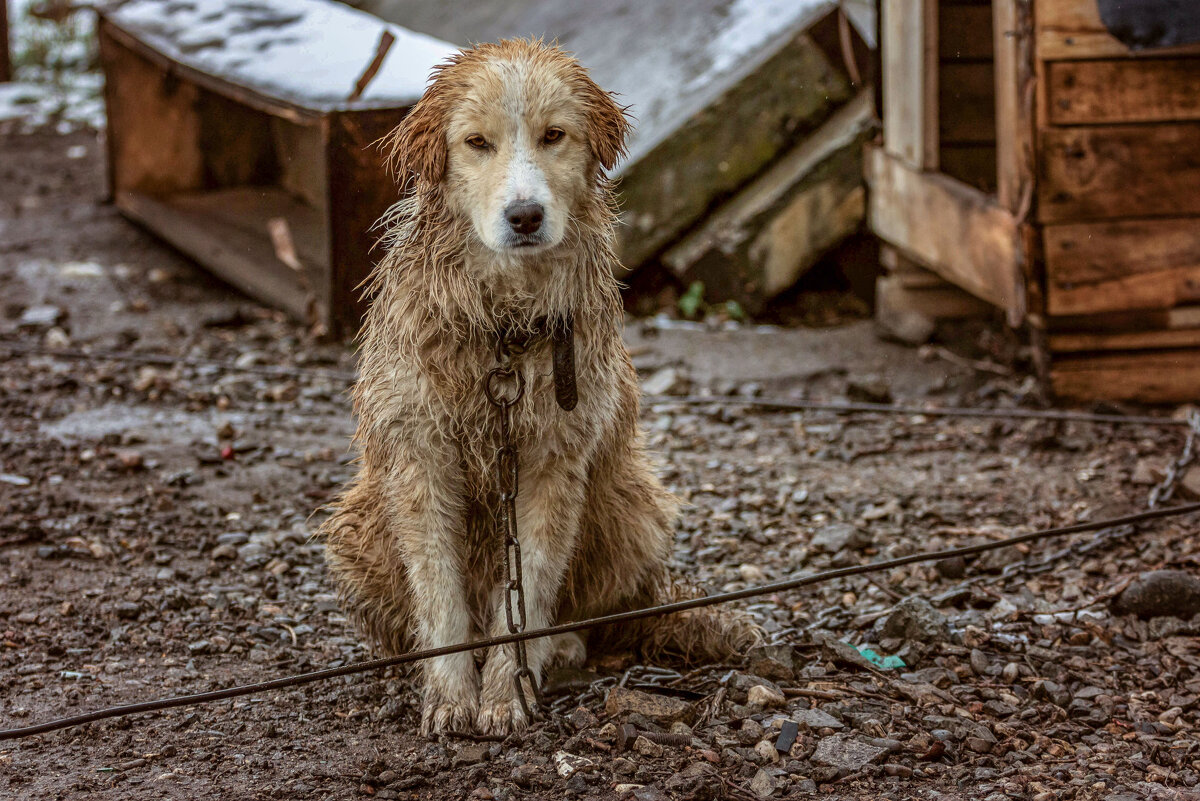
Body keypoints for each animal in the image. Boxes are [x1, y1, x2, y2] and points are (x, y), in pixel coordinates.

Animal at [319, 38, 758, 738]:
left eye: (555, 136)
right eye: (477, 143)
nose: (524, 215)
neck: (504, 324)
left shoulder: (553, 460)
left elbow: (530, 584)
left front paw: (506, 691)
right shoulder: (419, 458)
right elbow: (439, 591)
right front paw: (451, 694)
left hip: (633, 508)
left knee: (598, 614)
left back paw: (564, 646)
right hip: (354, 528)